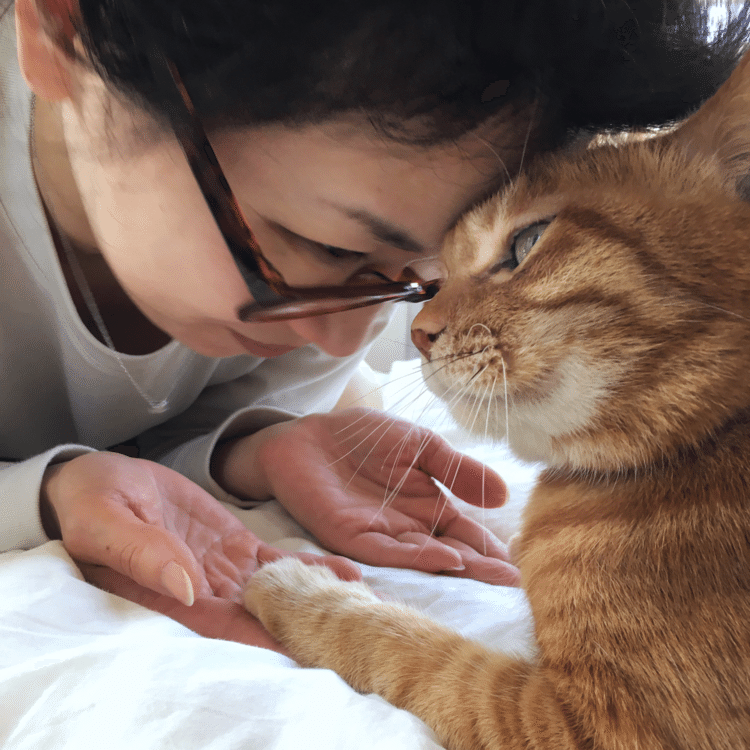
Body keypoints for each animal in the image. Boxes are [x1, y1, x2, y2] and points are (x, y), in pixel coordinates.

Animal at [245, 45, 750, 750]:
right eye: (435, 278)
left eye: (527, 243)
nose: (420, 334)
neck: (706, 441)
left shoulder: (595, 727)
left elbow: (412, 648)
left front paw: (300, 585)